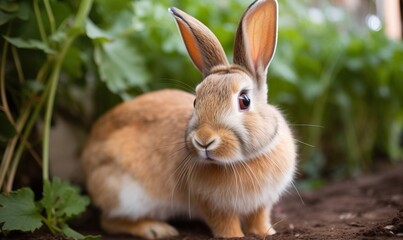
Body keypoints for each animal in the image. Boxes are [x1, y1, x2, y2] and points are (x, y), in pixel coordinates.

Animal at [82, 0, 296, 238]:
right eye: (195, 101)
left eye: (245, 100)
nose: (204, 140)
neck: (242, 161)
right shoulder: (211, 204)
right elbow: (225, 222)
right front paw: (235, 236)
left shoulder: (262, 203)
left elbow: (259, 218)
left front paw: (267, 232)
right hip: (126, 193)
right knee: (108, 221)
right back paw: (156, 229)